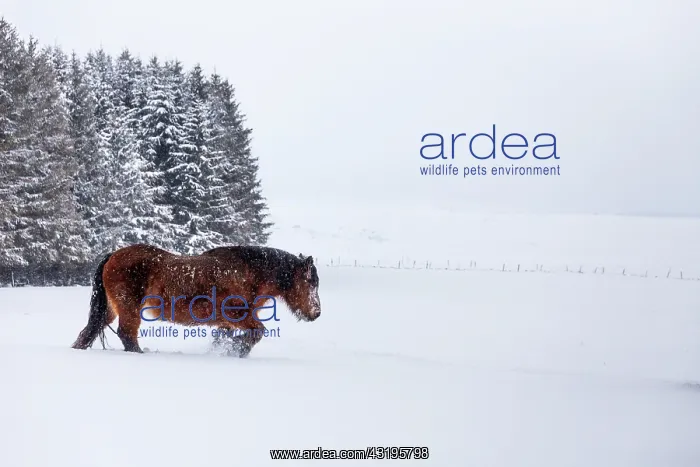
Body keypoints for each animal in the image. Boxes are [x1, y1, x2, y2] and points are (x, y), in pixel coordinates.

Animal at [71, 243, 321, 357]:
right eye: (311, 282)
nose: (316, 312)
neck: (247, 273)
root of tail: (113, 255)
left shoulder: (225, 322)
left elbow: (222, 339)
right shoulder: (238, 315)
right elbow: (257, 332)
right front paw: (238, 350)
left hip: (111, 309)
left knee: (89, 332)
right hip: (129, 309)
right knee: (127, 335)